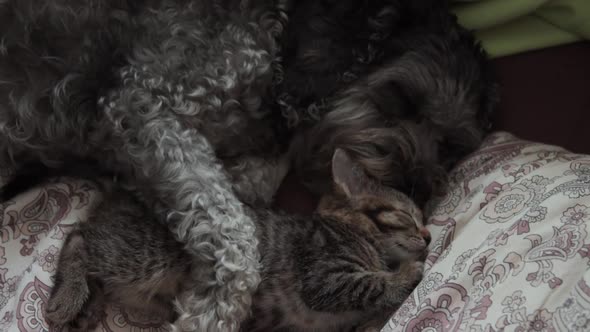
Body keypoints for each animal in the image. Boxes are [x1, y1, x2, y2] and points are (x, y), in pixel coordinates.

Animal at [46, 149, 432, 330]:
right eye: (409, 216)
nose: (429, 236)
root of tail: (125, 195)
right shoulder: (324, 275)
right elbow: (370, 283)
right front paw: (407, 273)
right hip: (146, 255)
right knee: (79, 237)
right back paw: (69, 297)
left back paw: (87, 308)